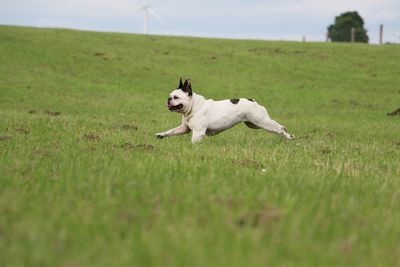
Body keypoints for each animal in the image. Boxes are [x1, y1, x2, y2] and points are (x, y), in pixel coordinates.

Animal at [156, 78, 294, 144]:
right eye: (170, 96)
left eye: (176, 97)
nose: (168, 99)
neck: (195, 107)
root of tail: (252, 100)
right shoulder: (183, 129)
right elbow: (171, 131)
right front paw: (161, 134)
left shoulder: (198, 132)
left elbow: (193, 142)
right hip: (255, 124)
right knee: (277, 124)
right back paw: (287, 132)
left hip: (261, 122)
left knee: (278, 129)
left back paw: (289, 137)